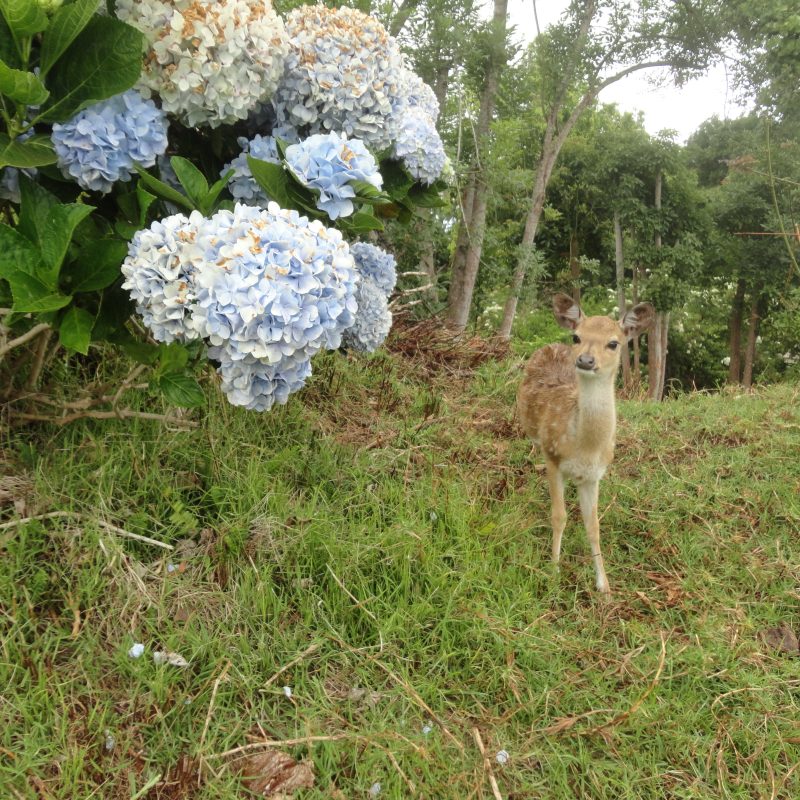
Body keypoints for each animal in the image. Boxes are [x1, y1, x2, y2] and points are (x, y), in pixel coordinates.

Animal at [517, 293, 654, 595]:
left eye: (613, 343)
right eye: (577, 337)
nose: (586, 360)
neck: (585, 447)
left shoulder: (594, 476)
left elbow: (594, 526)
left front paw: (605, 586)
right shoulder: (554, 458)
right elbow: (559, 516)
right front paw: (553, 573)